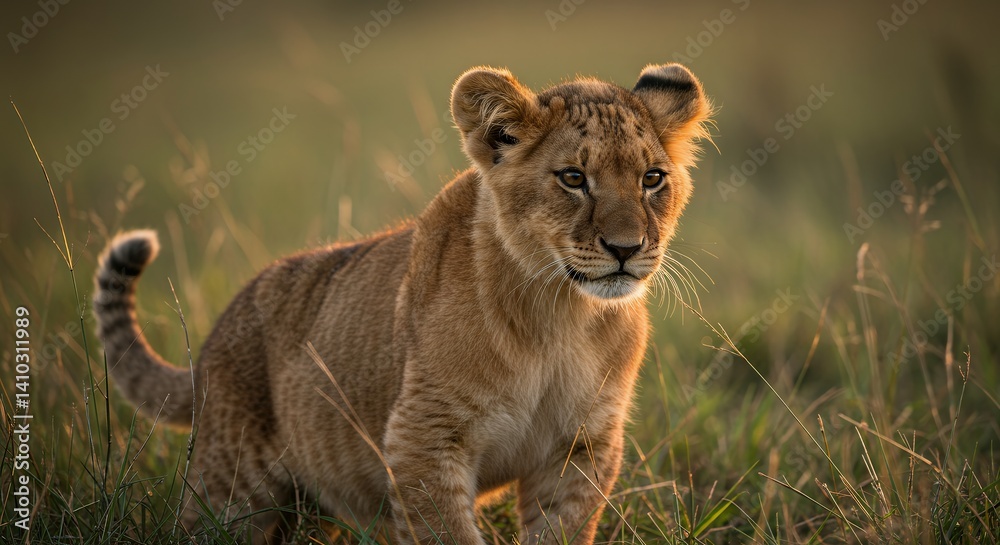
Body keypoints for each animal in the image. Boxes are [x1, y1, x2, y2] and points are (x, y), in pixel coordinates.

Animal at [92, 63, 711, 544]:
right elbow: (447, 533)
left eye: (652, 178)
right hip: (230, 488)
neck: (560, 315)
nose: (626, 249)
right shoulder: (422, 439)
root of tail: (212, 341)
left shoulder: (580, 449)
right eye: (573, 178)